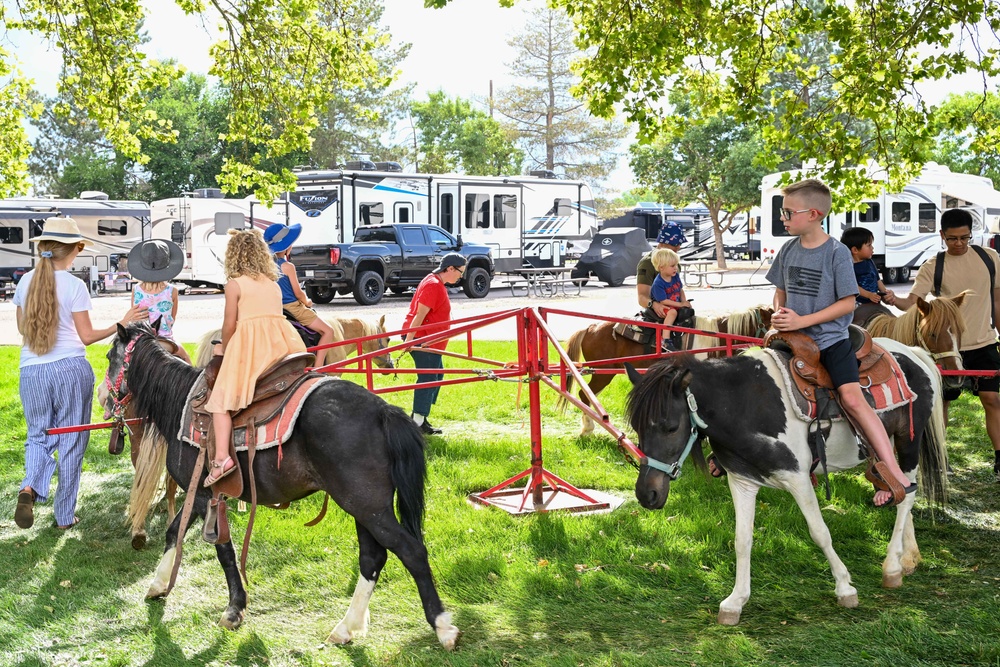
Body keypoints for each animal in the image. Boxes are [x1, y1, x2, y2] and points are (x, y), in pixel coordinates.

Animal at [104, 322, 458, 648]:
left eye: (109, 356)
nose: (106, 403)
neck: (181, 404)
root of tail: (383, 410)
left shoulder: (207, 496)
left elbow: (224, 551)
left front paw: (234, 609)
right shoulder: (200, 495)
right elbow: (174, 532)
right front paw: (159, 585)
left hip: (367, 507)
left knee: (410, 551)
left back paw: (442, 626)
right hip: (365, 506)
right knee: (373, 558)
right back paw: (347, 627)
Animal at [564, 306, 772, 436]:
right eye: (771, 324)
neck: (716, 338)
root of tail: (590, 327)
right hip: (603, 373)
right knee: (584, 395)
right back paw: (588, 429)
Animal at [624, 340, 944, 628]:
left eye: (671, 427)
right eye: (637, 426)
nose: (647, 493)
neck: (744, 404)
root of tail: (911, 352)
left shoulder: (798, 478)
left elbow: (820, 533)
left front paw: (844, 588)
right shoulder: (742, 482)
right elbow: (742, 540)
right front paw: (735, 601)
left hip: (908, 441)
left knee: (906, 496)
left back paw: (891, 566)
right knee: (900, 487)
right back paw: (907, 559)